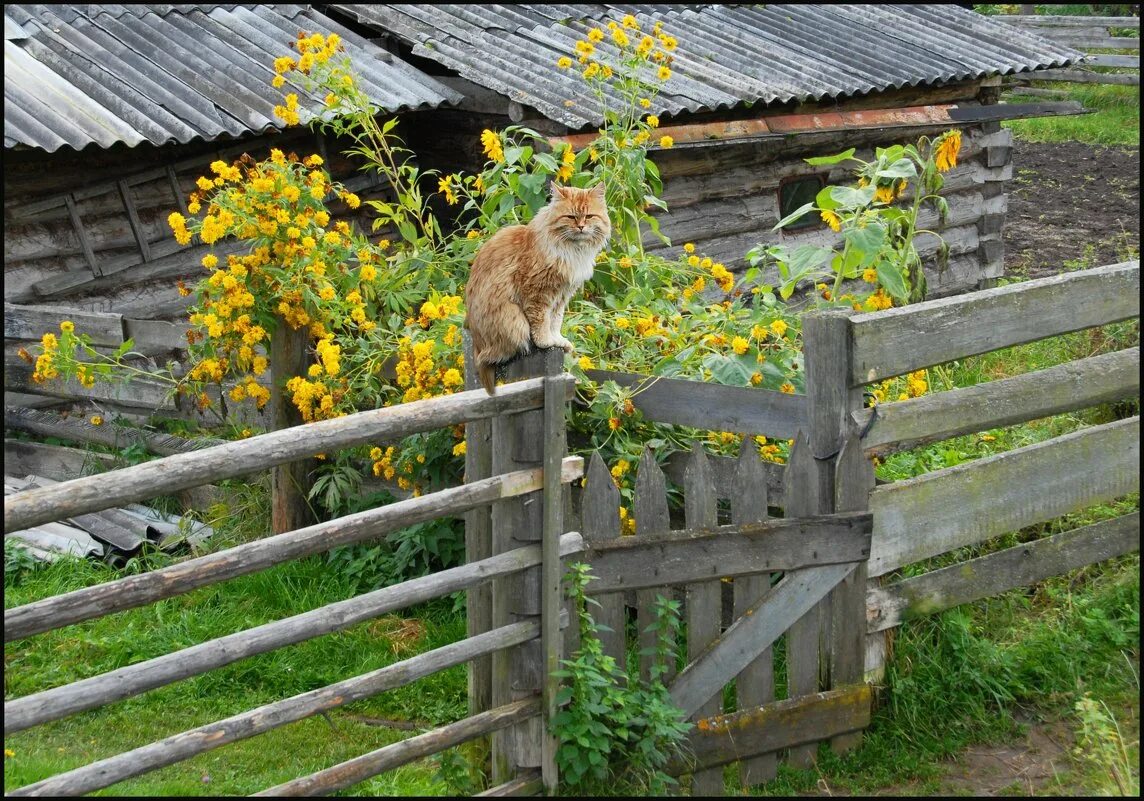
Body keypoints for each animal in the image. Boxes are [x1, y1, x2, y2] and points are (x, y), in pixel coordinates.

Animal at [462, 181, 613, 393]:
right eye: (571, 217)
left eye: (589, 216)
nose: (581, 226)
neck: (572, 251)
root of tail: (474, 339)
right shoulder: (537, 293)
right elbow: (541, 322)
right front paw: (546, 342)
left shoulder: (561, 297)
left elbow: (555, 322)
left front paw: (558, 341)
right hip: (515, 322)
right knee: (494, 356)